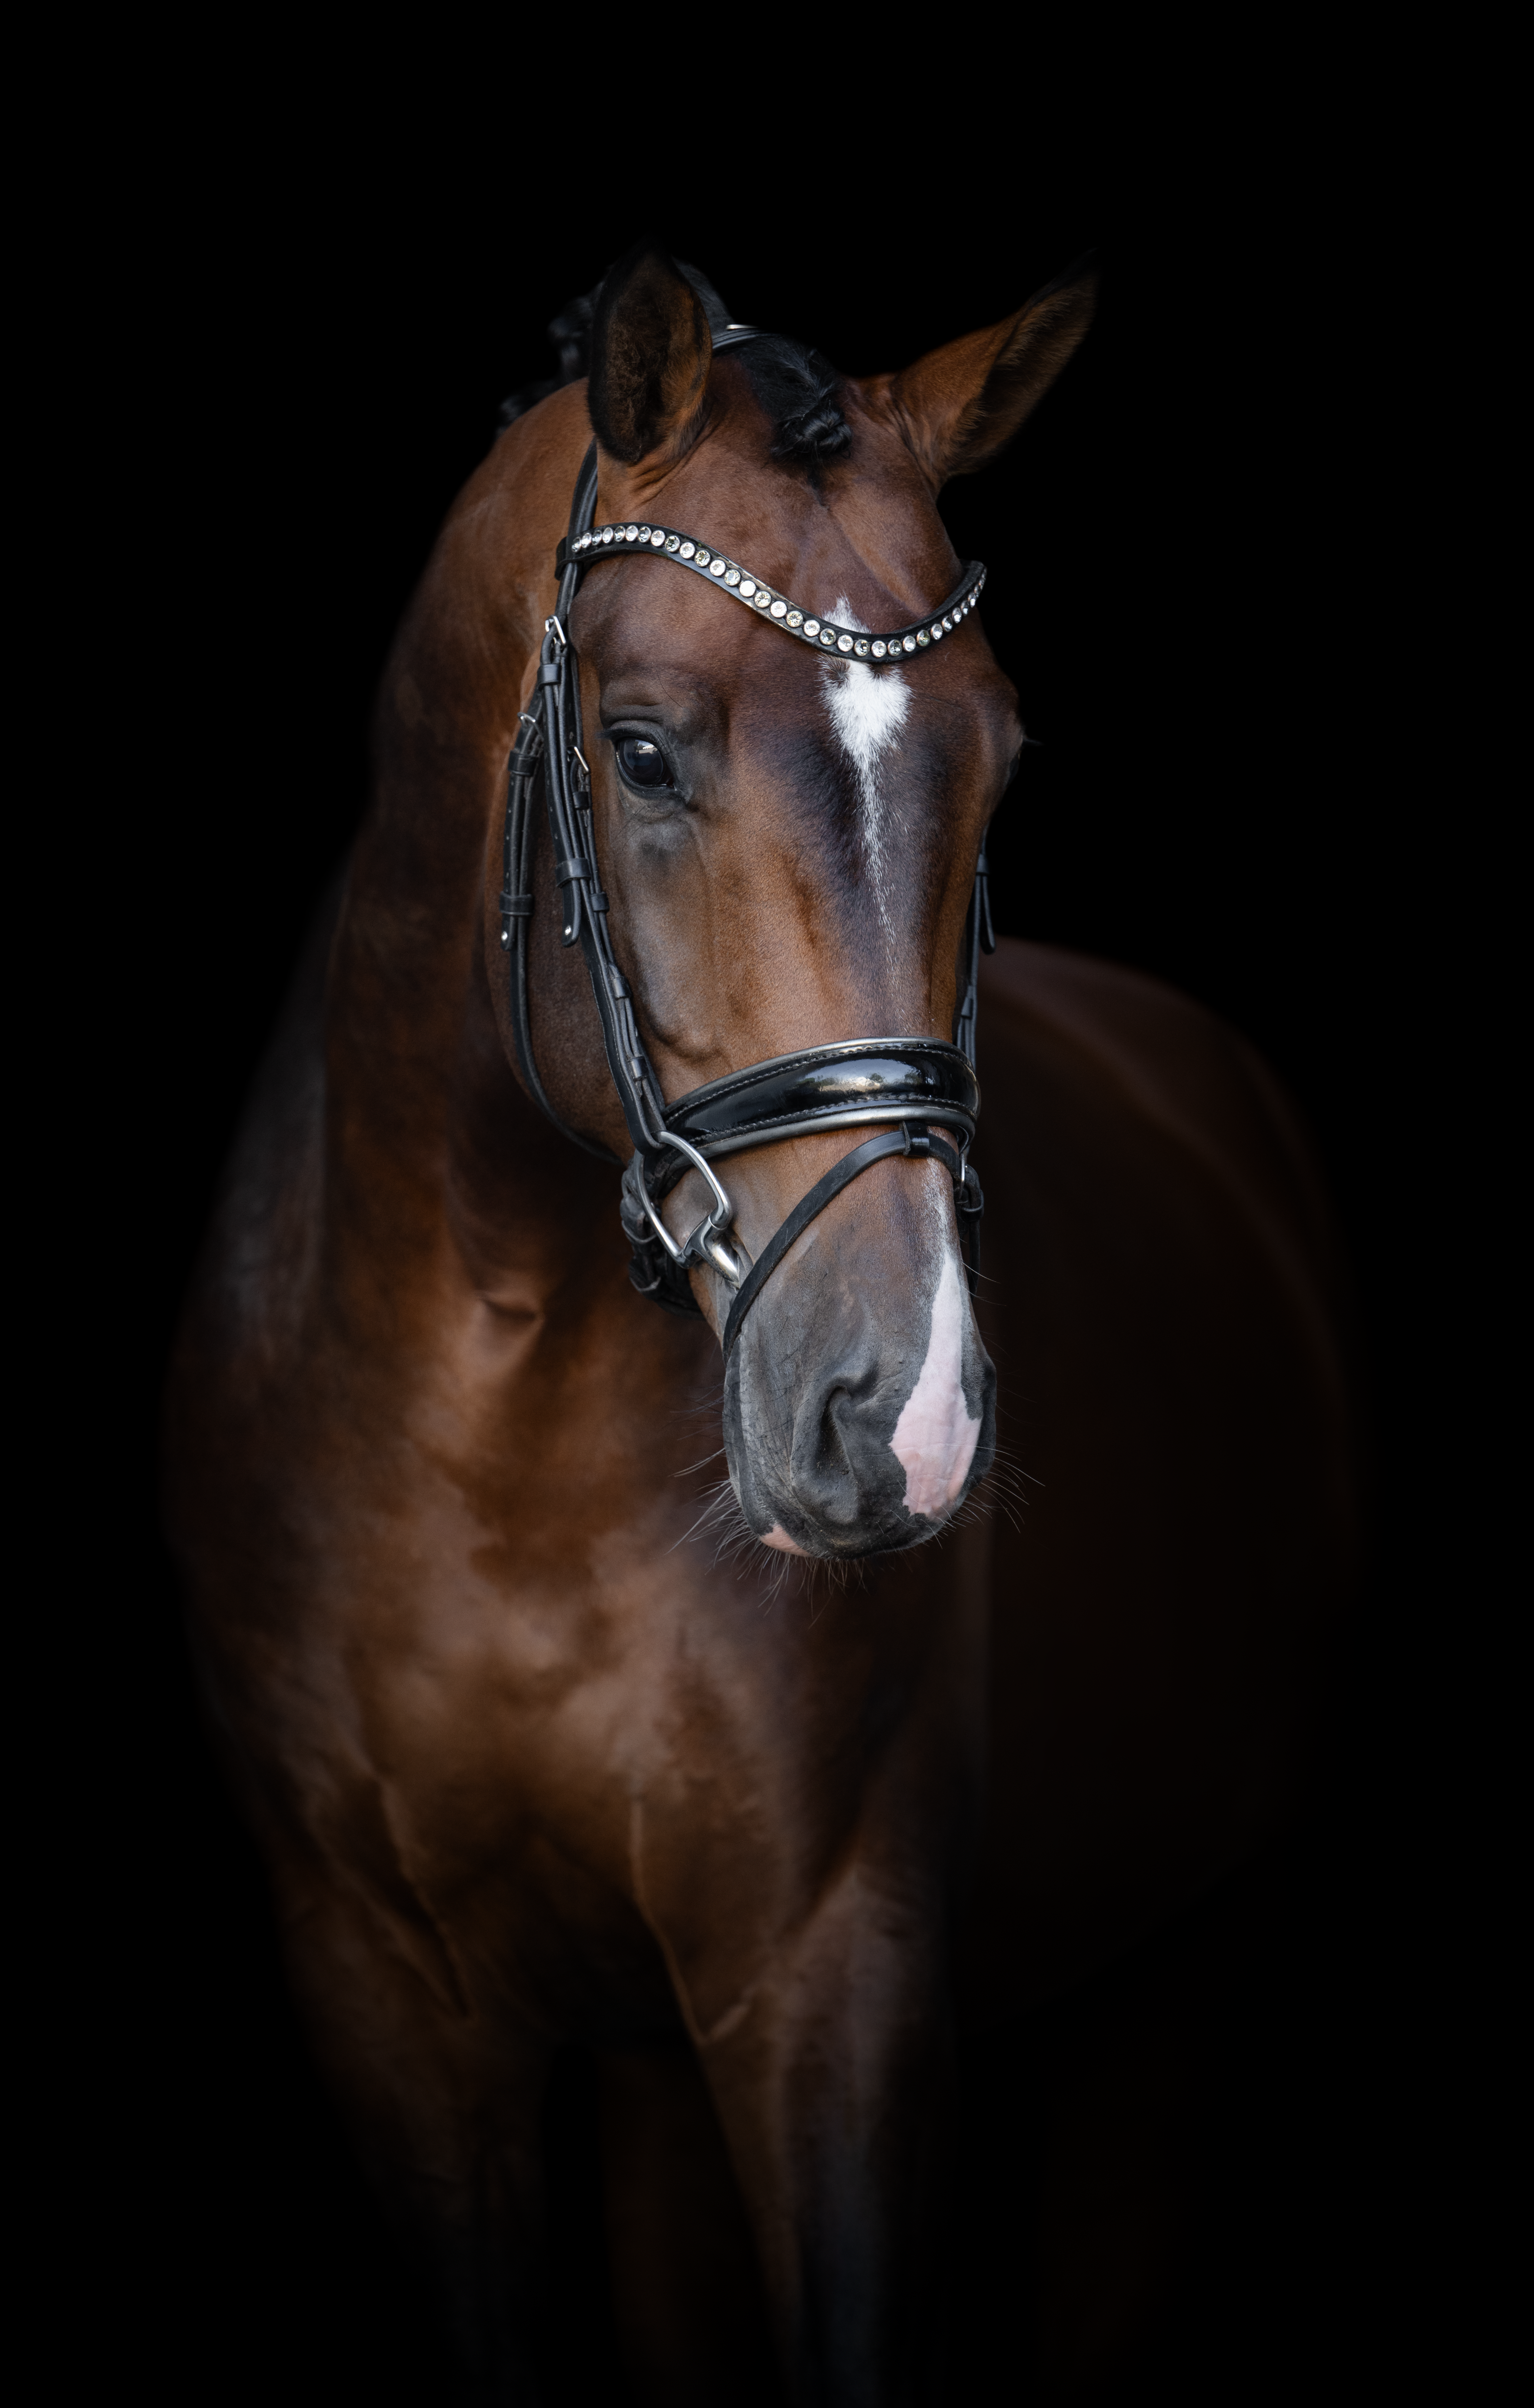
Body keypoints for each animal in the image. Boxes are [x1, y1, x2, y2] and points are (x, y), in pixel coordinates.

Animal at [165, 243, 1359, 2403]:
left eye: (999, 757)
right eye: (640, 749)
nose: (905, 1418)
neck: (488, 1416)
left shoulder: (832, 1989)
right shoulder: (390, 2005)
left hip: (1173, 1989)